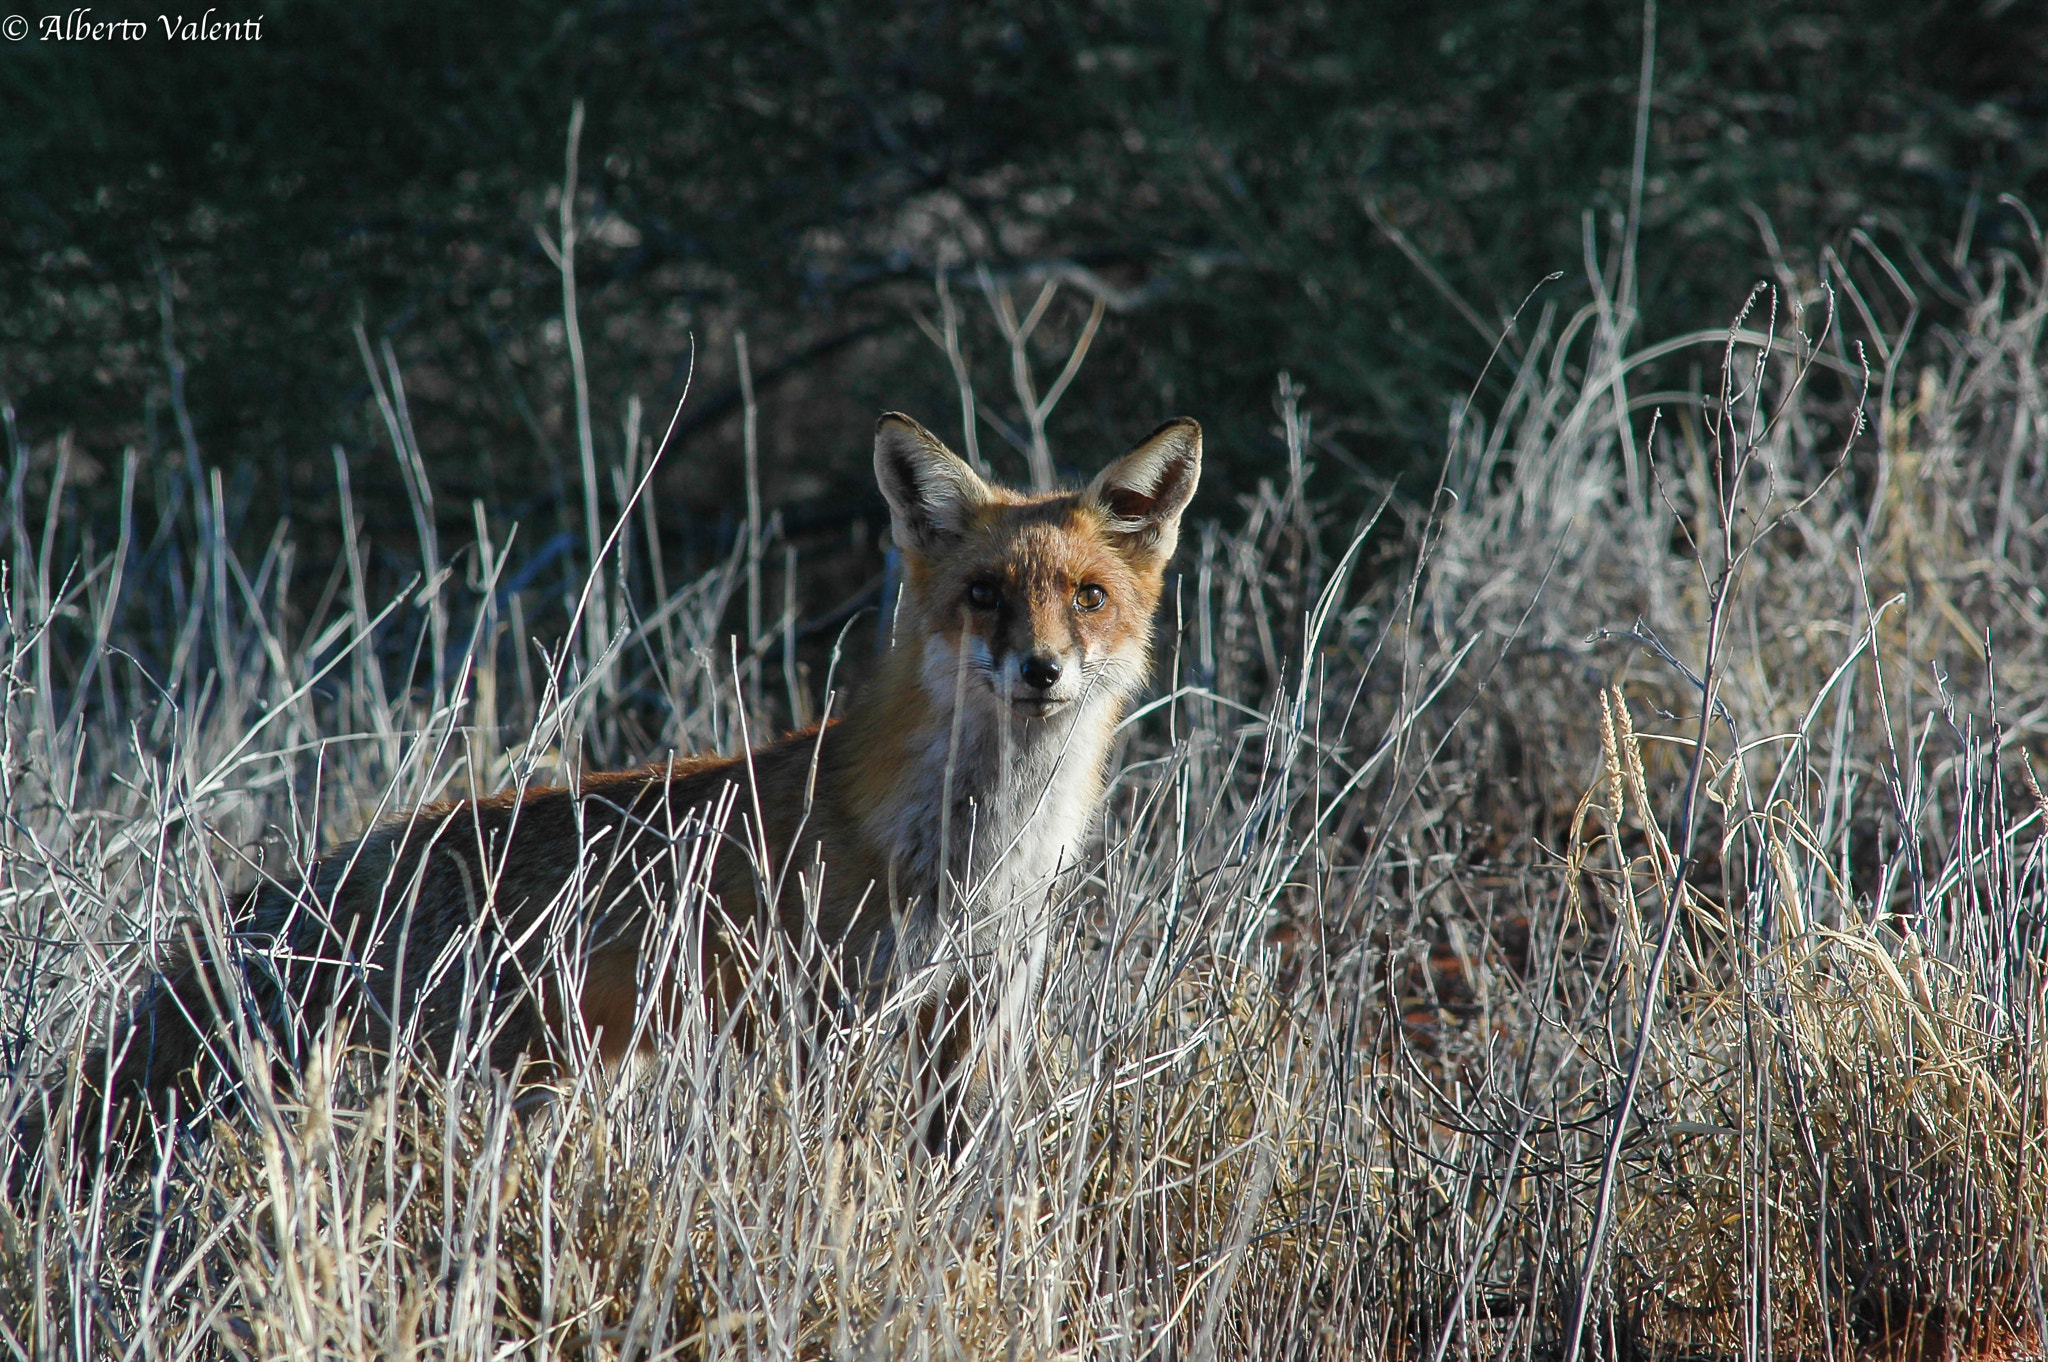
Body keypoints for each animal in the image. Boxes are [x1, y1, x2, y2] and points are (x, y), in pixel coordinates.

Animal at [19, 409, 1196, 1171]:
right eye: (985, 594)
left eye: (1088, 597)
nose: (1040, 670)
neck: (982, 848)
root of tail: (247, 913)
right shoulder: (830, 1021)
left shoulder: (981, 1013)